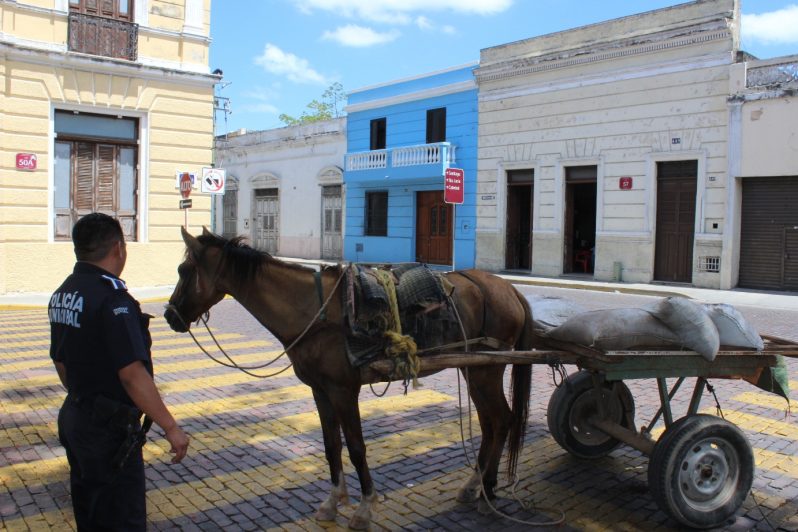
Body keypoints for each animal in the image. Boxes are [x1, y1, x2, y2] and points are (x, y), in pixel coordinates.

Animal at [165, 228, 536, 528]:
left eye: (185, 270)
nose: (170, 316)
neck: (311, 311)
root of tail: (509, 290)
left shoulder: (344, 390)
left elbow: (356, 448)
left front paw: (364, 508)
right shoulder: (320, 391)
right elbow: (331, 446)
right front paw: (332, 502)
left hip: (487, 370)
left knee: (502, 420)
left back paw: (488, 493)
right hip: (474, 369)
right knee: (490, 424)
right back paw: (475, 486)